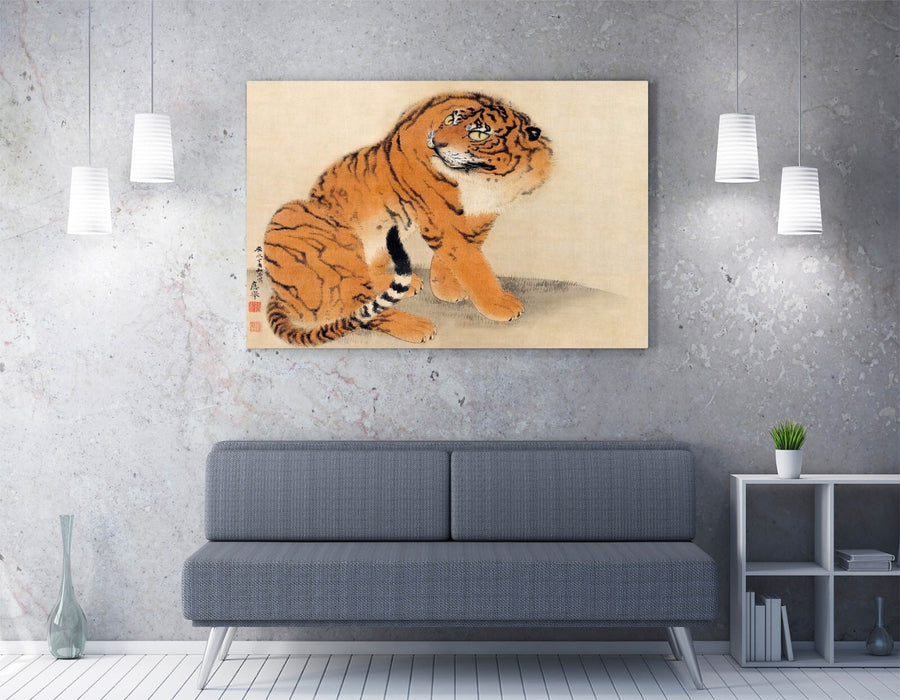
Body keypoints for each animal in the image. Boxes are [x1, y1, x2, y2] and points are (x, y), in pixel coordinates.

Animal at [263, 91, 553, 346]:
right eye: (451, 120)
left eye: (479, 134)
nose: (436, 142)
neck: (485, 177)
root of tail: (279, 292)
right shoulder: (440, 217)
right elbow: (471, 263)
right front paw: (500, 304)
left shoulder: (482, 214)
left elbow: (463, 253)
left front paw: (447, 288)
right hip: (313, 229)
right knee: (357, 308)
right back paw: (417, 327)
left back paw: (409, 283)